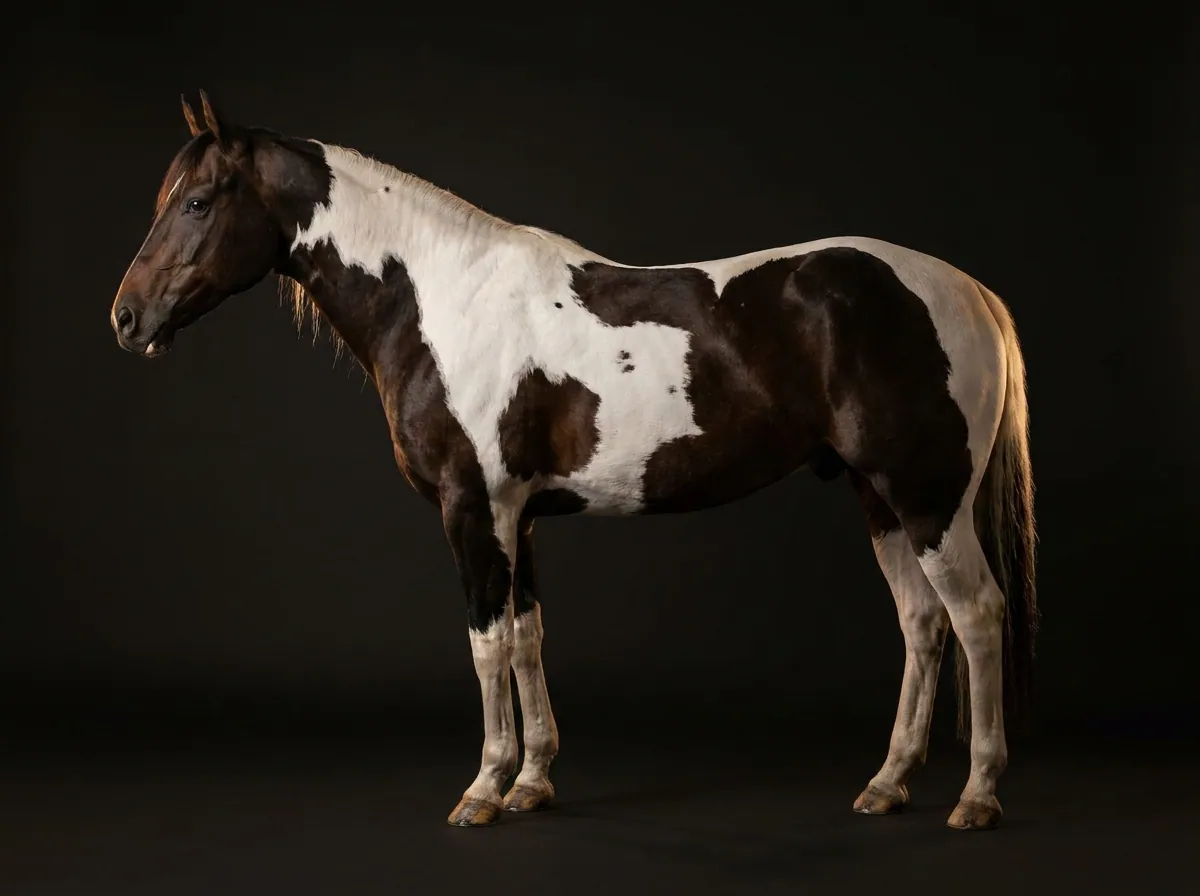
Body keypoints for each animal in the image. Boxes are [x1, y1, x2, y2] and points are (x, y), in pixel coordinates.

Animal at [109, 90, 1038, 832]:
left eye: (198, 201)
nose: (125, 317)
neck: (440, 299)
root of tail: (965, 290)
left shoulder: (473, 507)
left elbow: (486, 644)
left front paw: (483, 790)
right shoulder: (517, 514)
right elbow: (528, 639)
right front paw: (532, 782)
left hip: (929, 499)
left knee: (976, 616)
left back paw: (977, 796)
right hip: (880, 499)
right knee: (922, 624)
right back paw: (888, 783)